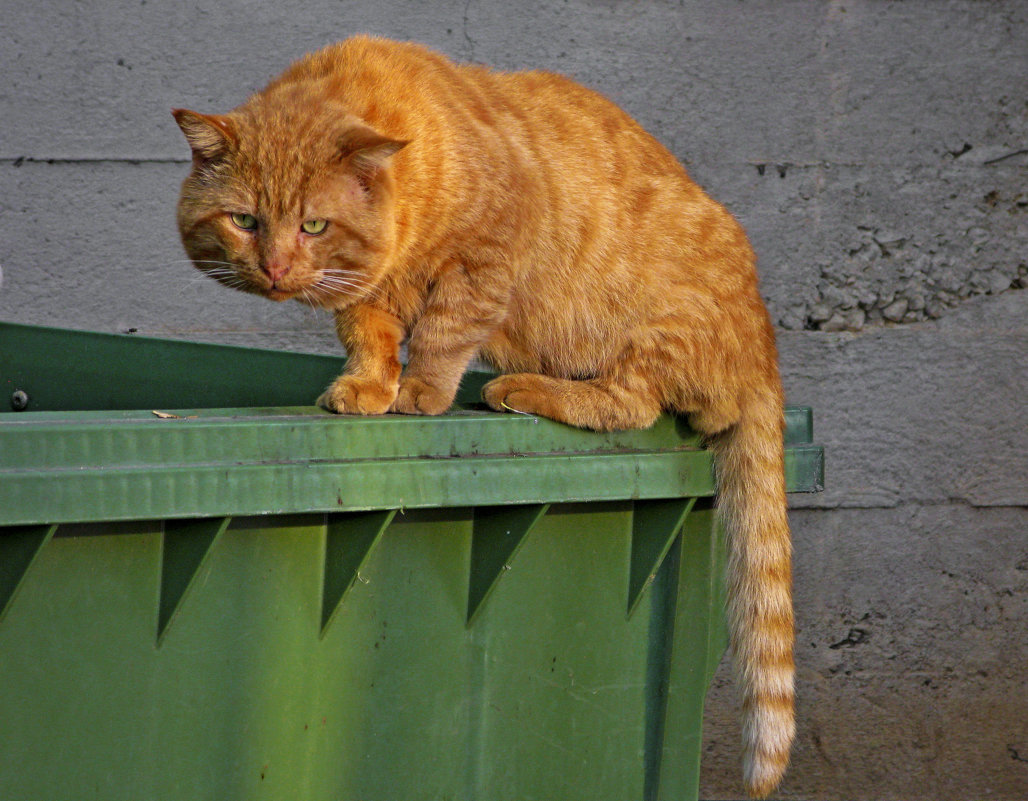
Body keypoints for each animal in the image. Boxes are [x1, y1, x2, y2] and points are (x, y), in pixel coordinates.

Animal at [174, 35, 793, 793]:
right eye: (245, 221)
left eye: (312, 225)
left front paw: (420, 393)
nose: (276, 269)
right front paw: (367, 386)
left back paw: (523, 389)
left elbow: (443, 333)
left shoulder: (484, 261)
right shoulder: (367, 292)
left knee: (629, 403)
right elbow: (369, 336)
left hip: (650, 333)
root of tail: (763, 341)